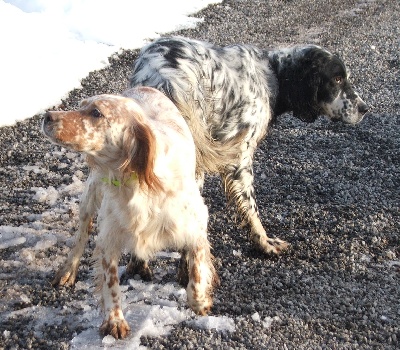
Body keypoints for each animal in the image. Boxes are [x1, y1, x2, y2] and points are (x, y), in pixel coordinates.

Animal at [42, 86, 217, 338]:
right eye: (81, 105)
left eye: (96, 112)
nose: (47, 116)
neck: (136, 181)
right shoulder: (109, 237)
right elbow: (110, 282)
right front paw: (115, 320)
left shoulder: (197, 225)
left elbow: (197, 274)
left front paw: (201, 300)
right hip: (90, 194)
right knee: (81, 235)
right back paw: (68, 270)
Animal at [50, 37, 368, 288]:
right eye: (337, 79)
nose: (365, 108)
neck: (273, 75)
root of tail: (157, 74)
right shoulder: (241, 160)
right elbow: (250, 211)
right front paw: (265, 244)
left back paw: (75, 271)